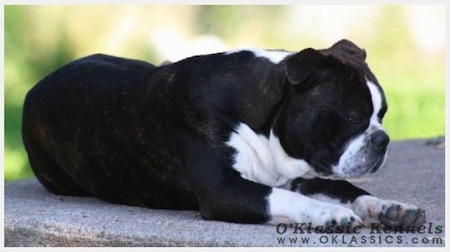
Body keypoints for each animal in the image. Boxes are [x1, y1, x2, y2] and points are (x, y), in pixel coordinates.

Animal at [22, 39, 426, 230]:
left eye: (382, 115)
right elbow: (282, 198)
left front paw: (391, 208)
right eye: (354, 117)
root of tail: (34, 88)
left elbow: (347, 190)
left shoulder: (298, 173)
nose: (383, 140)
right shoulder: (224, 190)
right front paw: (328, 215)